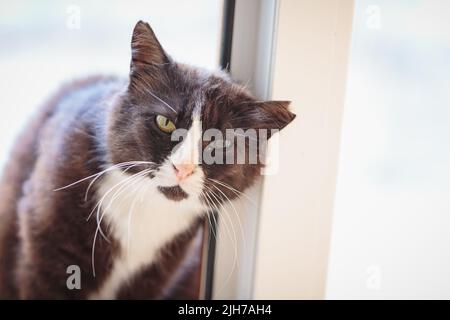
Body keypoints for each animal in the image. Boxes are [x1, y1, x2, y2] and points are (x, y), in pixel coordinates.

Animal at [0, 21, 296, 298]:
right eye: (165, 122)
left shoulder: (160, 271)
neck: (145, 205)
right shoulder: (49, 256)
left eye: (220, 142)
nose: (182, 168)